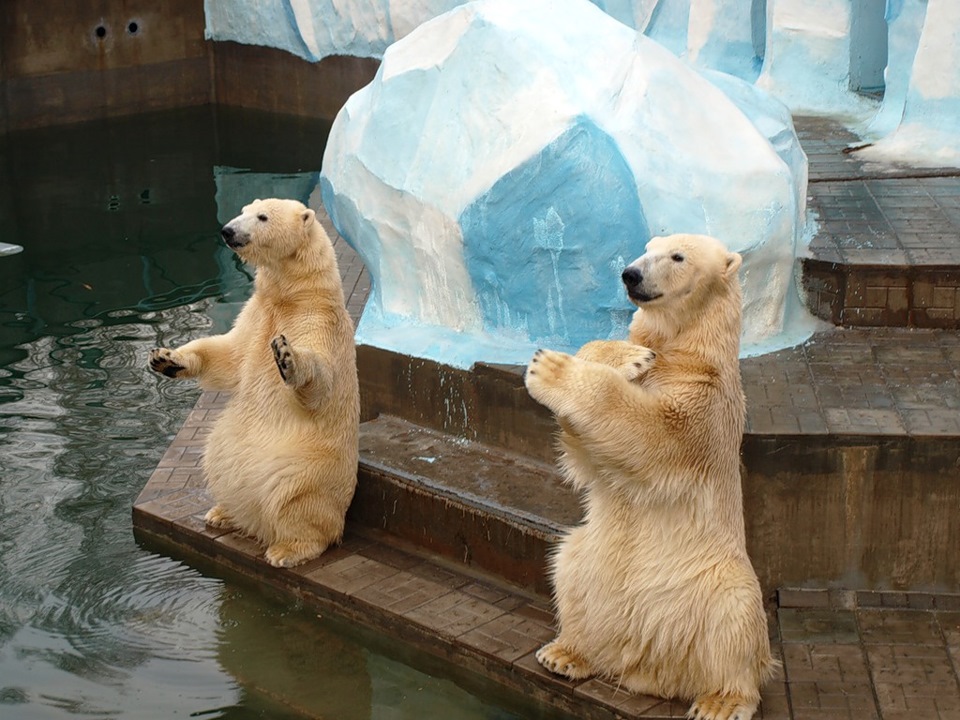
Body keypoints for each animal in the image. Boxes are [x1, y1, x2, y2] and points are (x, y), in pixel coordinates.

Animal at [150, 197, 360, 568]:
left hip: (309, 467)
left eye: (261, 217)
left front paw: (287, 357)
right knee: (219, 460)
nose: (228, 230)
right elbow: (229, 354)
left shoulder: (319, 321)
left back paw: (287, 549)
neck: (293, 296)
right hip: (224, 450)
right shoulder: (257, 313)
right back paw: (223, 513)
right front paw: (167, 358)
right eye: (244, 210)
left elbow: (321, 381)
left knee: (296, 498)